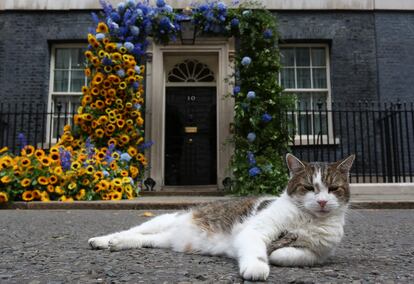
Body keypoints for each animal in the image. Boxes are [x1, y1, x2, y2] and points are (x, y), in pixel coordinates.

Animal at [89, 154, 354, 280]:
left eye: (333, 189)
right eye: (309, 187)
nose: (322, 201)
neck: (308, 220)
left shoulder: (317, 254)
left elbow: (289, 254)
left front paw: (278, 252)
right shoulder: (255, 230)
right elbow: (257, 250)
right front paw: (257, 267)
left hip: (163, 239)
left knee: (142, 239)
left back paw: (117, 244)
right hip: (163, 219)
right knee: (132, 230)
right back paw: (103, 240)